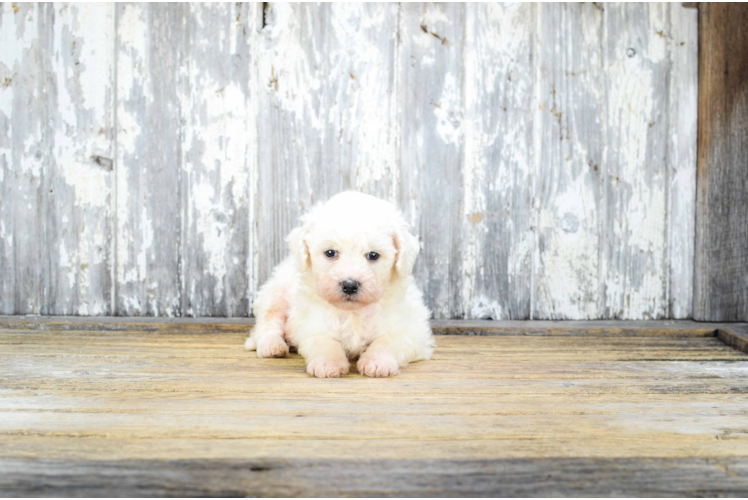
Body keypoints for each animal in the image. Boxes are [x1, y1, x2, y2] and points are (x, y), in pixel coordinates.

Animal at [245, 192, 432, 378]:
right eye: (330, 253)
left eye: (373, 255)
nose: (349, 285)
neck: (353, 312)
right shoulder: (312, 325)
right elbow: (324, 342)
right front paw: (328, 363)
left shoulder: (410, 329)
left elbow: (387, 340)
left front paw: (377, 362)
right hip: (276, 294)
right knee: (268, 323)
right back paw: (272, 346)